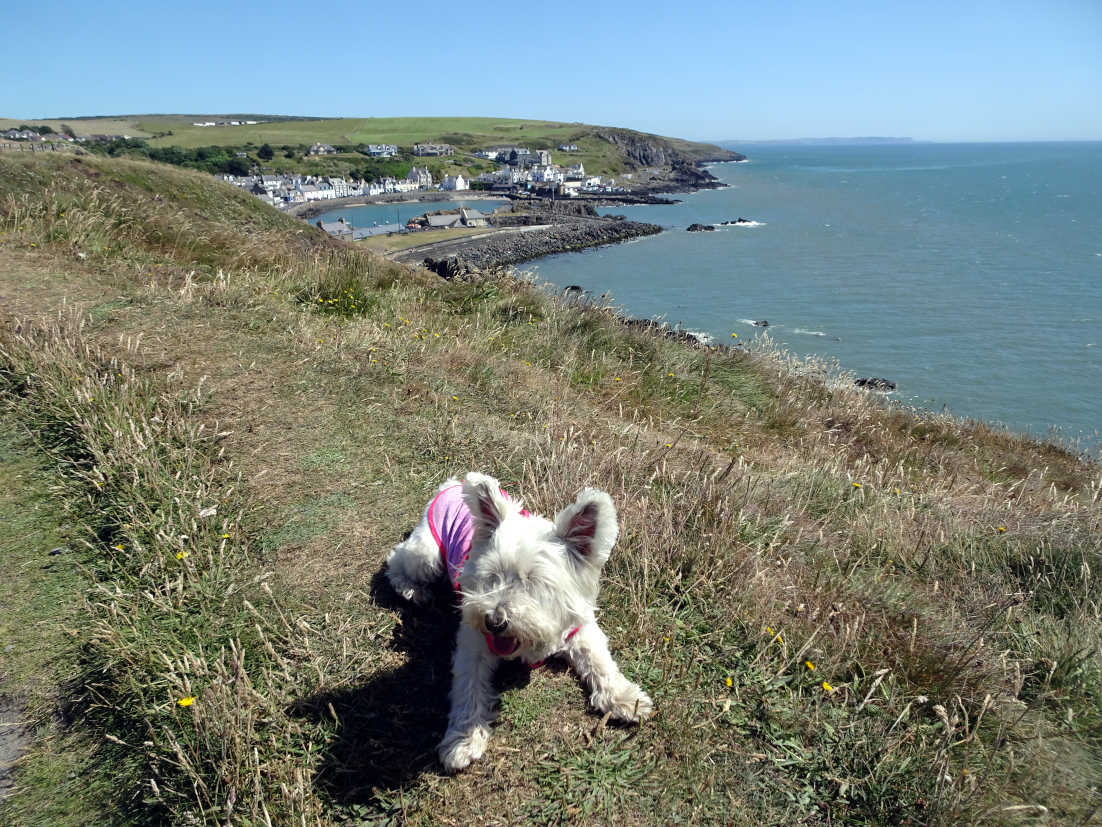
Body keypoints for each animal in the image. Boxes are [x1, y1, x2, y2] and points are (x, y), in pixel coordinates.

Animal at [385, 471, 647, 776]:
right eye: (491, 576)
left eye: (533, 582)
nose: (494, 621)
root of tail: (451, 484)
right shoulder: (472, 643)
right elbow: (469, 690)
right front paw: (463, 741)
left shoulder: (581, 628)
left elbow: (601, 662)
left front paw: (626, 698)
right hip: (425, 554)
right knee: (396, 560)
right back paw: (412, 590)